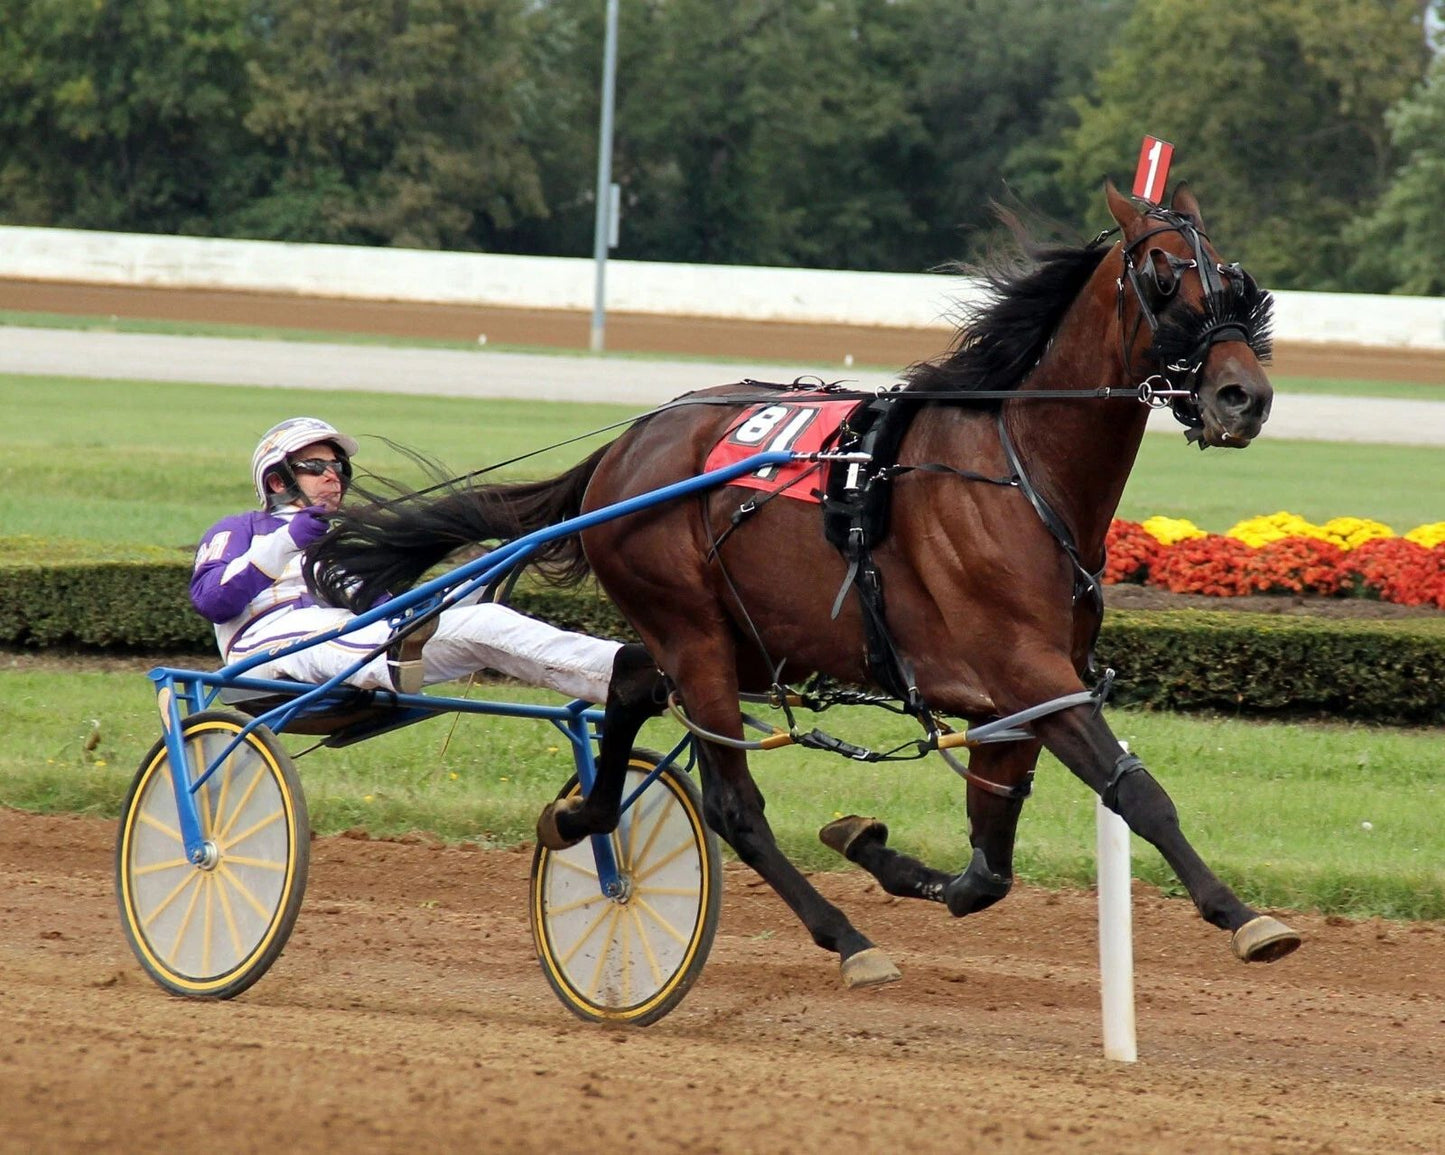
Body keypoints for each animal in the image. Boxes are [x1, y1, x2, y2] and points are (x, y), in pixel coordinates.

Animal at [310, 181, 1299, 988]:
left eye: (1234, 279)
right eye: (1165, 276)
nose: (1242, 397)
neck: (1015, 471)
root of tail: (626, 446)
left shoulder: (1019, 695)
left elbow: (987, 866)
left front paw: (873, 845)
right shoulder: (1027, 673)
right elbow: (1135, 792)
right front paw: (1244, 916)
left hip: (737, 636)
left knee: (629, 678)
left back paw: (580, 812)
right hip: (698, 635)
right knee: (731, 804)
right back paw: (846, 939)